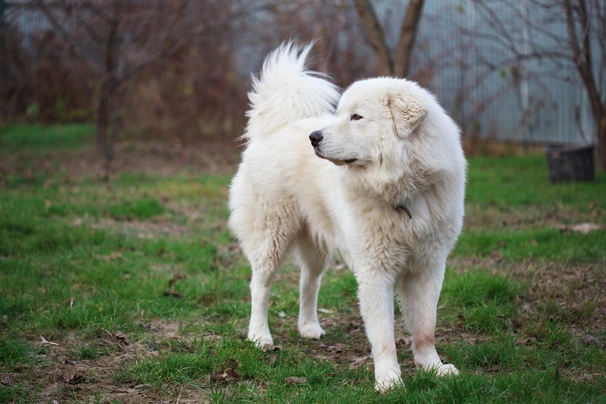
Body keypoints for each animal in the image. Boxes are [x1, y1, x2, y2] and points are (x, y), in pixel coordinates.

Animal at [230, 41, 468, 392]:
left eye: (357, 117)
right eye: (341, 114)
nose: (314, 137)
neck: (403, 192)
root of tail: (278, 127)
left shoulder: (429, 267)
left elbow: (426, 327)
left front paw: (432, 367)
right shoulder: (375, 272)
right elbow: (384, 335)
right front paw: (389, 380)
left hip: (316, 247)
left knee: (308, 282)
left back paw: (309, 327)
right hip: (272, 235)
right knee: (260, 287)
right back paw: (259, 336)